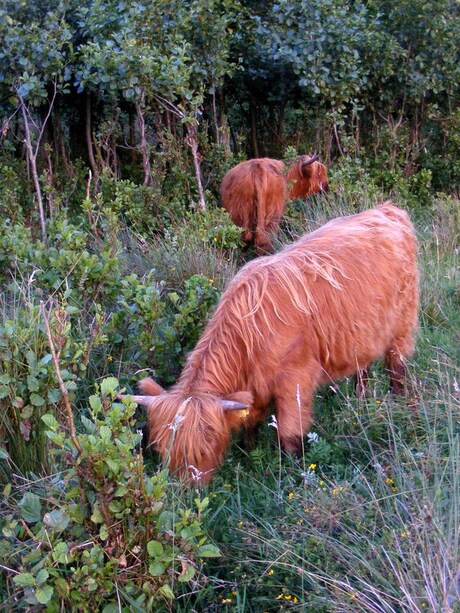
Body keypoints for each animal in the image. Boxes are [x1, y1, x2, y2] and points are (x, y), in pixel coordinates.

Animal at [127, 203, 418, 486]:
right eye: (163, 451)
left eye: (202, 450)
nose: (187, 492)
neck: (249, 337)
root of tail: (388, 209)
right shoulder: (254, 386)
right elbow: (249, 423)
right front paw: (248, 452)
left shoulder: (295, 382)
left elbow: (289, 434)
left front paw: (293, 471)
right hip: (362, 335)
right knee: (363, 369)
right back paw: (360, 401)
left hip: (402, 325)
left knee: (397, 366)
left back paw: (399, 402)